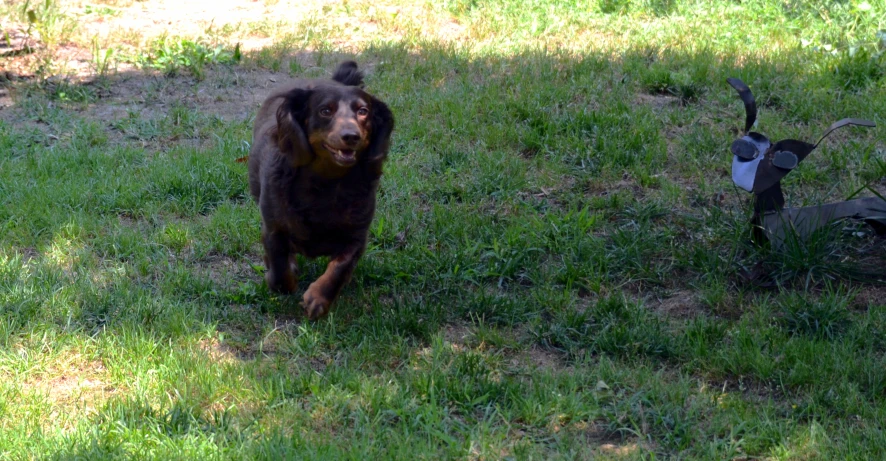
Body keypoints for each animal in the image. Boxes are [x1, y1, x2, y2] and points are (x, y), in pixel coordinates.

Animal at [246, 61, 392, 318]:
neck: (326, 182)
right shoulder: (274, 227)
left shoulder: (357, 234)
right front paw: (281, 277)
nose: (351, 136)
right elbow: (280, 271)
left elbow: (340, 268)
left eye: (363, 111)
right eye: (325, 111)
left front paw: (318, 299)